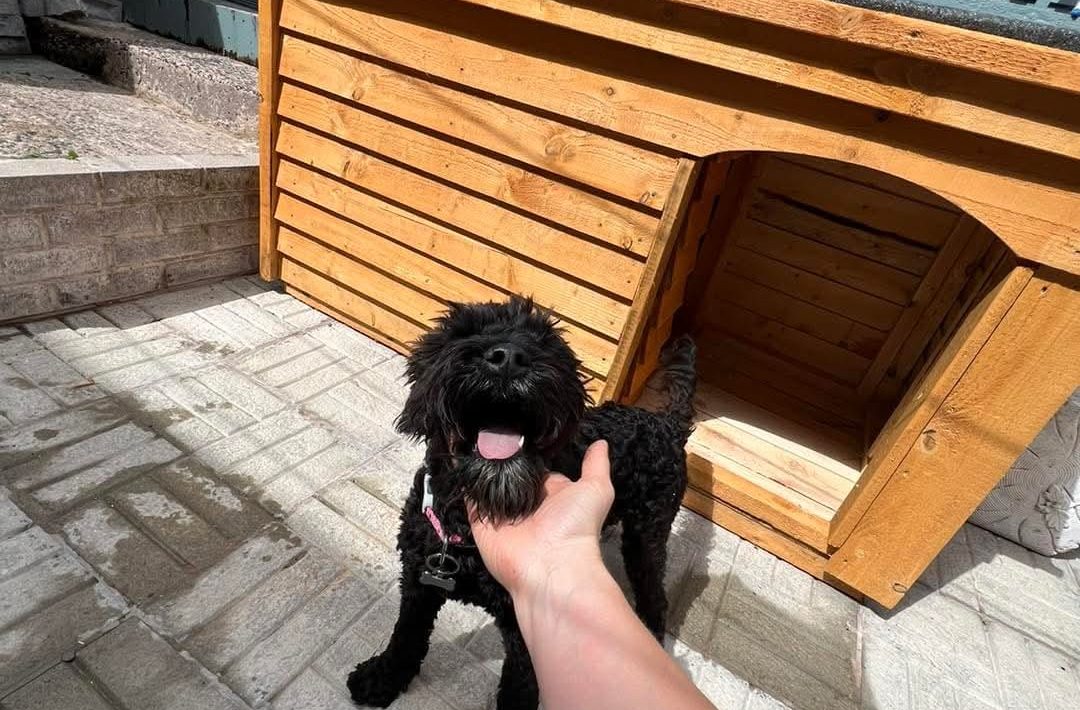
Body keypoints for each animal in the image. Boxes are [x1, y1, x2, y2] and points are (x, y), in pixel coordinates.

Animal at [348, 296, 695, 710]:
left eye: (546, 341)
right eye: (463, 331)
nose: (509, 358)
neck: (468, 523)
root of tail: (667, 425)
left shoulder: (528, 629)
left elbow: (518, 690)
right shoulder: (418, 581)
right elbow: (405, 636)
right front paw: (380, 679)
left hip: (648, 534)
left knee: (655, 596)